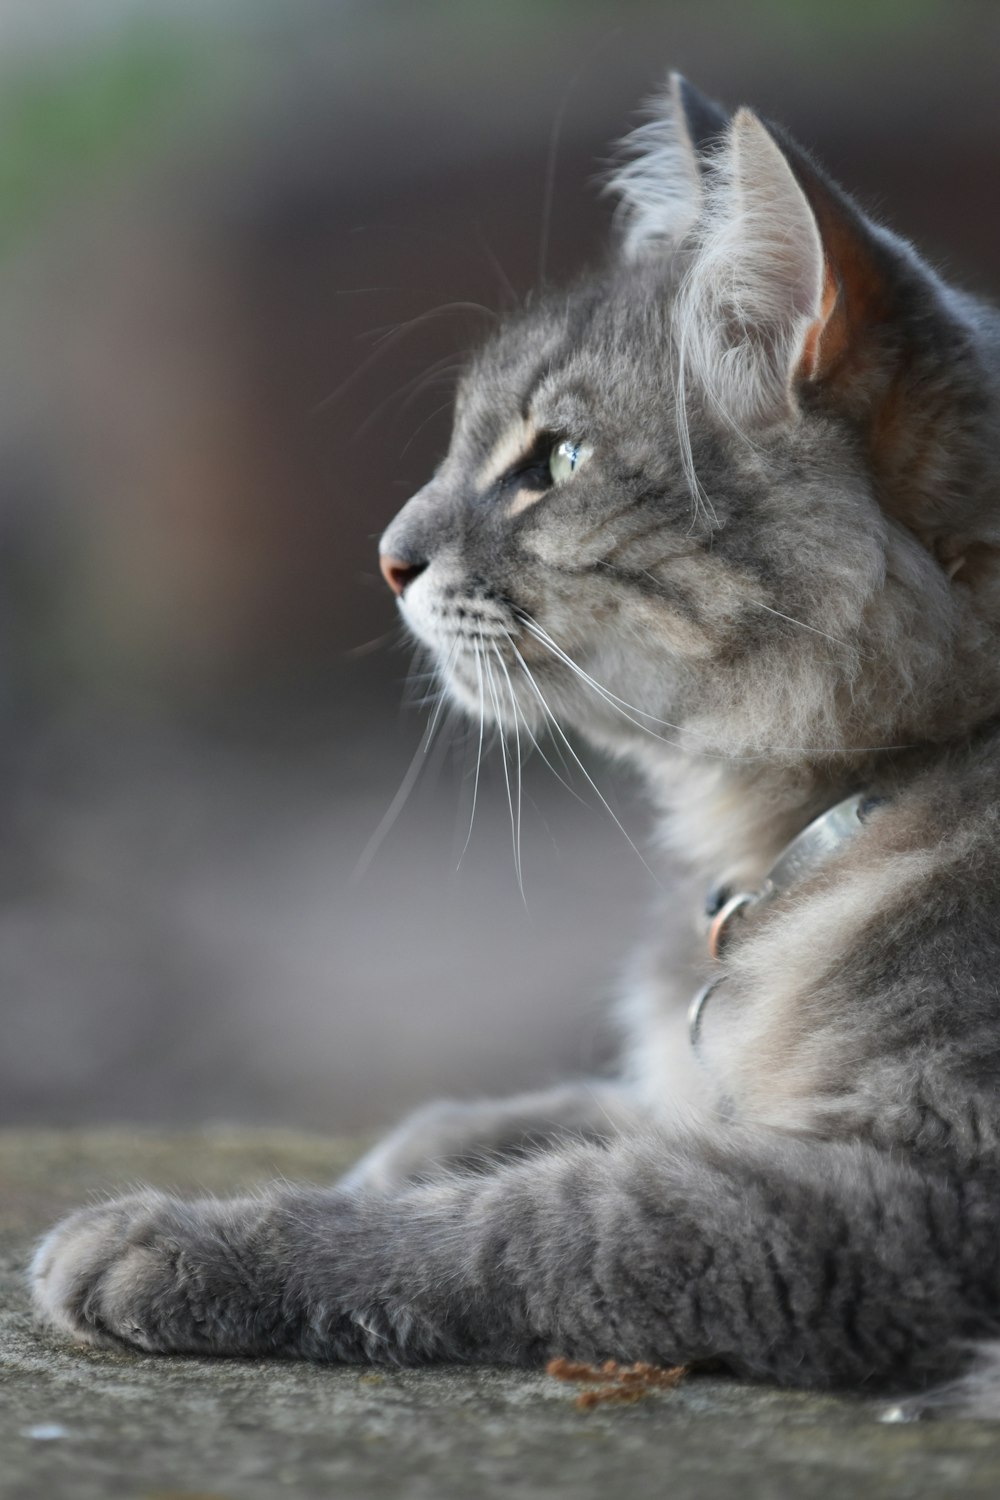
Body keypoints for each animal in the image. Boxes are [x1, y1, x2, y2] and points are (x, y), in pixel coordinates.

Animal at [27, 79, 1000, 1416]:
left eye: (561, 462)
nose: (388, 556)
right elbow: (609, 1109)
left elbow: (532, 1221)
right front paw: (425, 1142)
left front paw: (187, 1240)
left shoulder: (902, 1195)